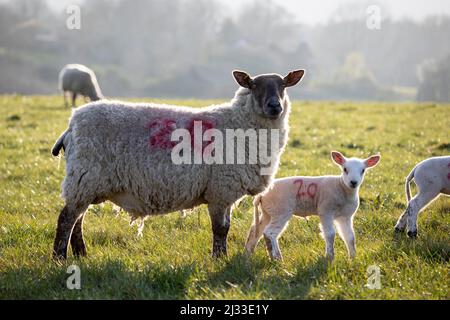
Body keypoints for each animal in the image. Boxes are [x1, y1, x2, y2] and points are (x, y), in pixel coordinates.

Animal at [51, 69, 306, 258]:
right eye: (254, 85)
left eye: (283, 85)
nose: (275, 106)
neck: (240, 123)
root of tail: (72, 124)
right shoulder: (220, 189)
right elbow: (220, 228)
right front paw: (218, 259)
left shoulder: (226, 192)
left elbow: (226, 227)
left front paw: (221, 257)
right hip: (84, 177)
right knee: (66, 219)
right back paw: (60, 258)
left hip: (87, 183)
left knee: (77, 220)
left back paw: (82, 254)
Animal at [246, 151, 380, 262]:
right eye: (345, 169)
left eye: (363, 170)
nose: (353, 182)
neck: (341, 187)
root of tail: (261, 195)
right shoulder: (325, 211)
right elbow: (330, 234)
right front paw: (330, 256)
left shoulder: (345, 217)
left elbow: (350, 237)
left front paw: (352, 258)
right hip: (280, 211)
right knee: (270, 232)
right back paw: (278, 257)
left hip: (268, 212)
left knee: (256, 230)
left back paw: (250, 252)